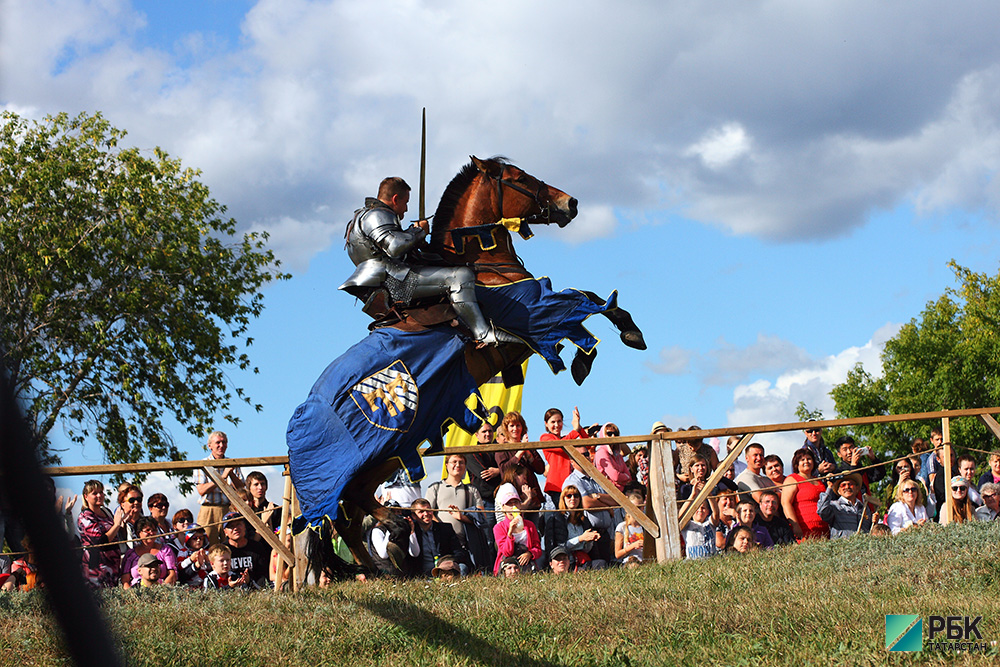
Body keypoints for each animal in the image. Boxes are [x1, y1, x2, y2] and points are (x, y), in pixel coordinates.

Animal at [288, 154, 648, 576]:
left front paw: (614, 340)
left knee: (347, 517)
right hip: (377, 459)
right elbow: (583, 301)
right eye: (519, 178)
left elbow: (586, 300)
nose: (569, 203)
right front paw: (610, 343)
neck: (482, 264)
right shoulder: (537, 312)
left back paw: (383, 564)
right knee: (354, 509)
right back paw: (393, 539)